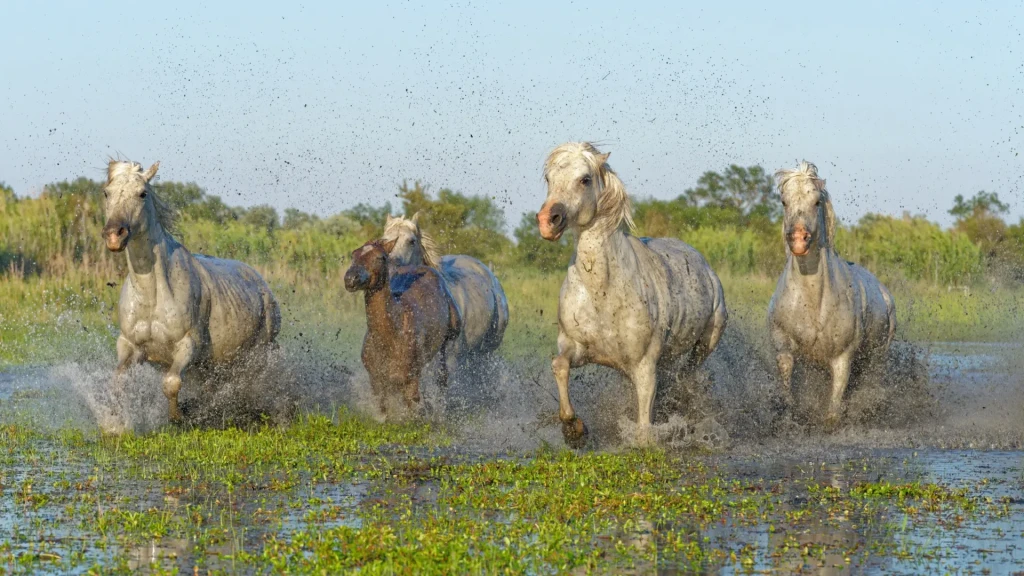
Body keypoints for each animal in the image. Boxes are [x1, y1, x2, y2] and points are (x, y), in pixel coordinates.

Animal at [101, 160, 280, 428]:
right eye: (106, 193)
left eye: (142, 194)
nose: (114, 234)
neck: (152, 294)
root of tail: (262, 285)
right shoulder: (128, 344)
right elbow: (118, 381)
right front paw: (114, 424)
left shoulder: (188, 344)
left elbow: (171, 383)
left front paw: (179, 417)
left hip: (257, 353)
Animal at [344, 238, 462, 418]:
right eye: (353, 254)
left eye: (381, 258)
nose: (351, 278)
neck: (392, 336)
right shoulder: (376, 381)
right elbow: (383, 410)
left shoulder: (411, 379)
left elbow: (412, 408)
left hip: (451, 335)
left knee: (442, 372)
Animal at [535, 142, 728, 447]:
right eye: (549, 178)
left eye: (585, 179)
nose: (547, 221)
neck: (602, 290)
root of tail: (705, 266)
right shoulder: (576, 346)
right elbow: (560, 366)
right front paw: (574, 429)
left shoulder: (644, 365)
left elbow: (644, 428)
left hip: (705, 343)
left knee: (687, 374)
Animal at [767, 161, 896, 430]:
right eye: (784, 201)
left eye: (816, 201)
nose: (798, 239)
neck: (812, 302)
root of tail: (884, 292)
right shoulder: (783, 343)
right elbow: (786, 369)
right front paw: (787, 412)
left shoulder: (842, 357)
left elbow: (835, 405)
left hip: (877, 356)